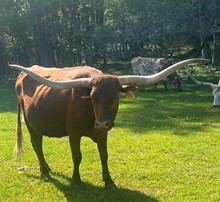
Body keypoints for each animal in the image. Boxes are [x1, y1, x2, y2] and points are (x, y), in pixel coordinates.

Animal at [9, 58, 207, 188]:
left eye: (115, 97)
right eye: (92, 98)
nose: (103, 123)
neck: (91, 115)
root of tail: (22, 75)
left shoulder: (103, 133)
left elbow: (104, 155)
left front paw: (109, 180)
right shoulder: (73, 133)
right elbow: (77, 156)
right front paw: (76, 180)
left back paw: (47, 167)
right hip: (30, 124)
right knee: (36, 144)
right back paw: (43, 171)